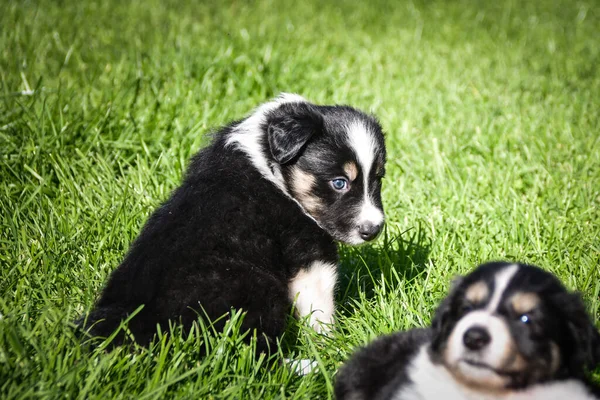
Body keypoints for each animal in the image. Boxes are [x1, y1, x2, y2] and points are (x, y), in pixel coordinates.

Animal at [77, 94, 386, 354]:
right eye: (339, 182)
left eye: (378, 179)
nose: (373, 229)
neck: (268, 163)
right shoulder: (307, 250)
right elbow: (320, 307)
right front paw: (331, 347)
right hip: (257, 286)